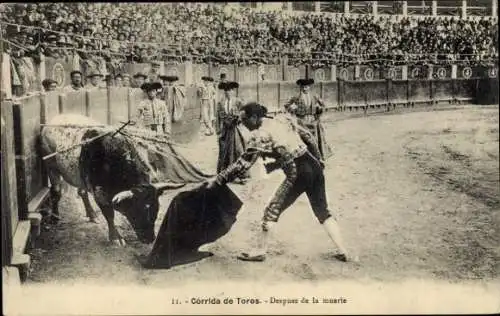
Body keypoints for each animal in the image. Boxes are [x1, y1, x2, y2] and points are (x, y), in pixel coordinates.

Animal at [41, 115, 185, 246]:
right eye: (137, 211)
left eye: (156, 210)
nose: (149, 239)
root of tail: (56, 118)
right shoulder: (100, 193)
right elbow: (109, 214)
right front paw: (116, 238)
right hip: (51, 165)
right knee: (56, 191)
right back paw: (55, 217)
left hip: (79, 175)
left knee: (82, 192)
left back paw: (92, 215)